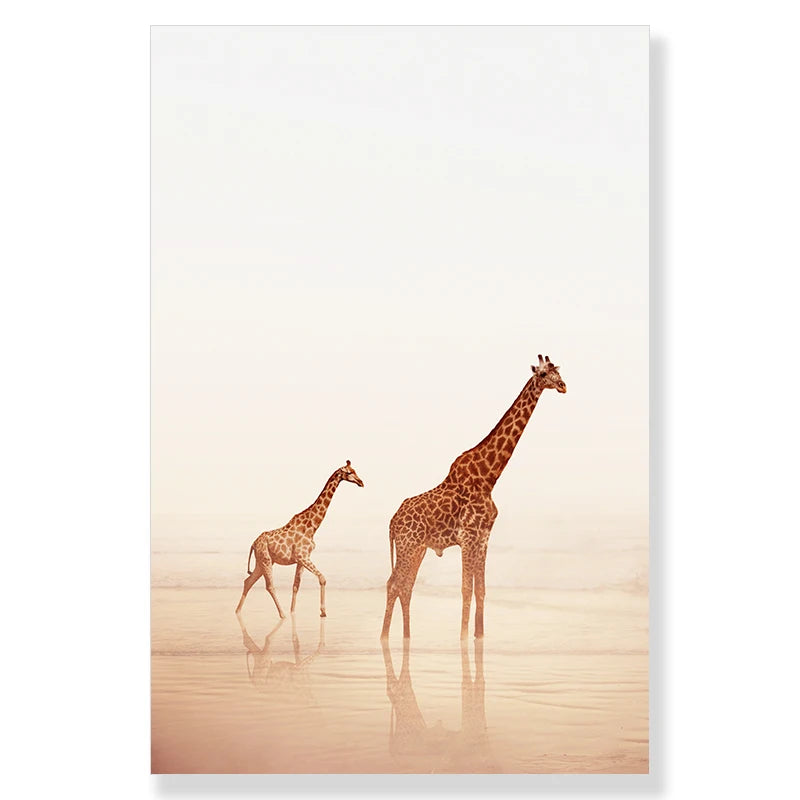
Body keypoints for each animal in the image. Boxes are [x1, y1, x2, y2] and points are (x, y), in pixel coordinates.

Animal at [235, 460, 364, 618]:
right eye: (350, 472)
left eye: (355, 470)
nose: (361, 482)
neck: (313, 526)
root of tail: (253, 544)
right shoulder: (303, 556)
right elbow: (322, 578)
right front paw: (323, 611)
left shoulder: (301, 560)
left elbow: (296, 586)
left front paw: (293, 612)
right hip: (265, 560)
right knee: (269, 586)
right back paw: (282, 614)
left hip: (262, 561)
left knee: (248, 581)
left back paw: (238, 611)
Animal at [380, 356, 566, 640]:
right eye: (544, 374)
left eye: (558, 371)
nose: (563, 386)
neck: (489, 477)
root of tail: (392, 521)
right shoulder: (467, 537)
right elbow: (466, 589)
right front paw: (463, 638)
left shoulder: (484, 538)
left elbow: (481, 589)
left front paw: (479, 636)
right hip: (407, 545)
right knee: (394, 584)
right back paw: (385, 637)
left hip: (417, 548)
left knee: (405, 585)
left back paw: (406, 636)